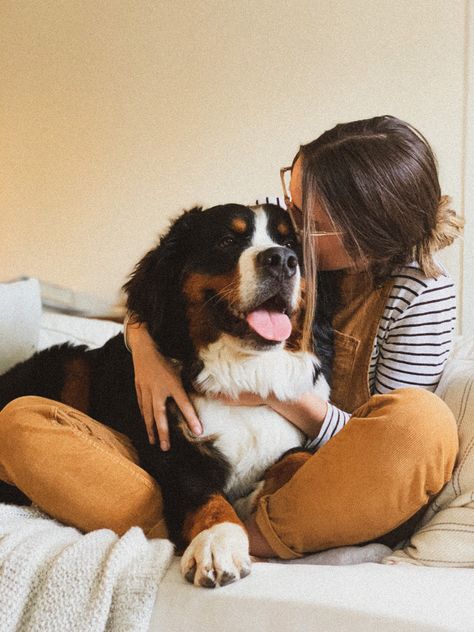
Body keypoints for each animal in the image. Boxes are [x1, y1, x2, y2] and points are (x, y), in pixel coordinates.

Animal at [0, 202, 336, 588]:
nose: (281, 259)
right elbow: (205, 495)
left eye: (291, 243)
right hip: (71, 362)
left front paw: (259, 495)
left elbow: (300, 457)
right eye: (227, 240)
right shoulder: (172, 449)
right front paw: (217, 542)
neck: (241, 376)